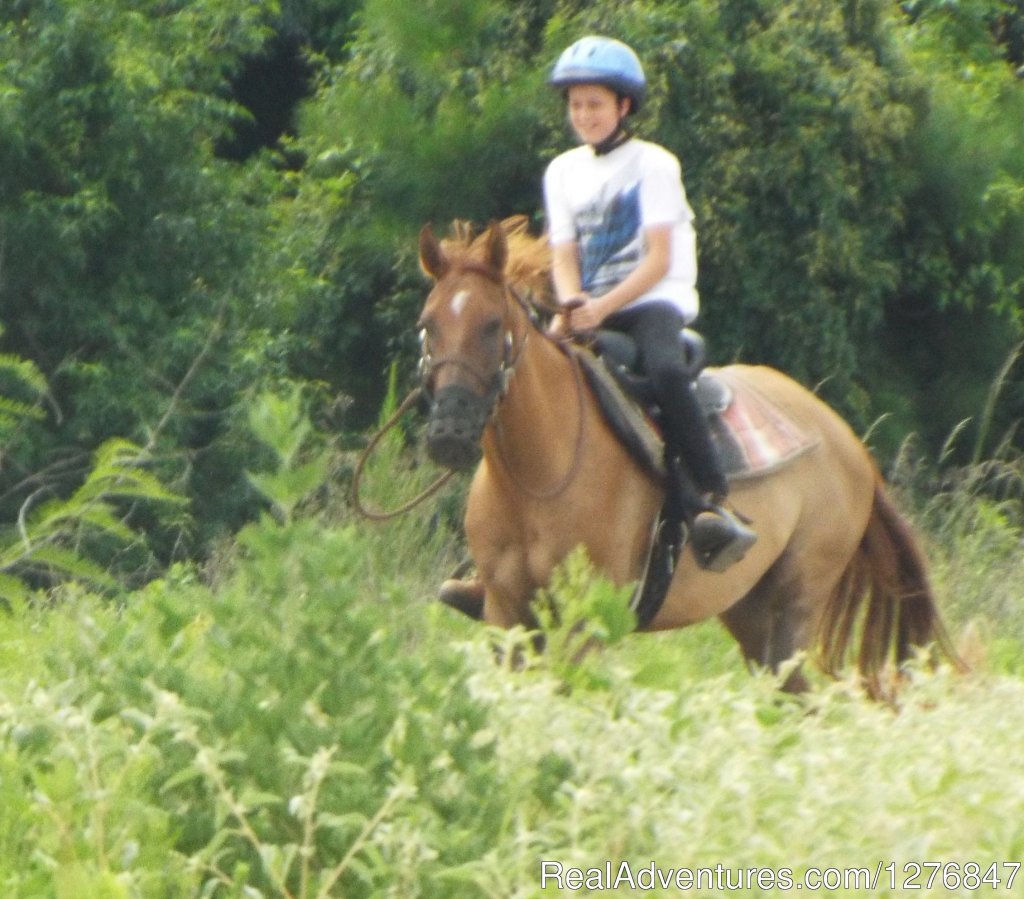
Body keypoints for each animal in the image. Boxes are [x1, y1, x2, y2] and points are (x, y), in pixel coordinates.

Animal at [413, 218, 958, 696]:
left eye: (492, 325)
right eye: (427, 325)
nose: (450, 430)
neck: (538, 477)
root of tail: (850, 445)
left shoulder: (586, 619)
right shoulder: (506, 616)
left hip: (794, 605)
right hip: (748, 613)